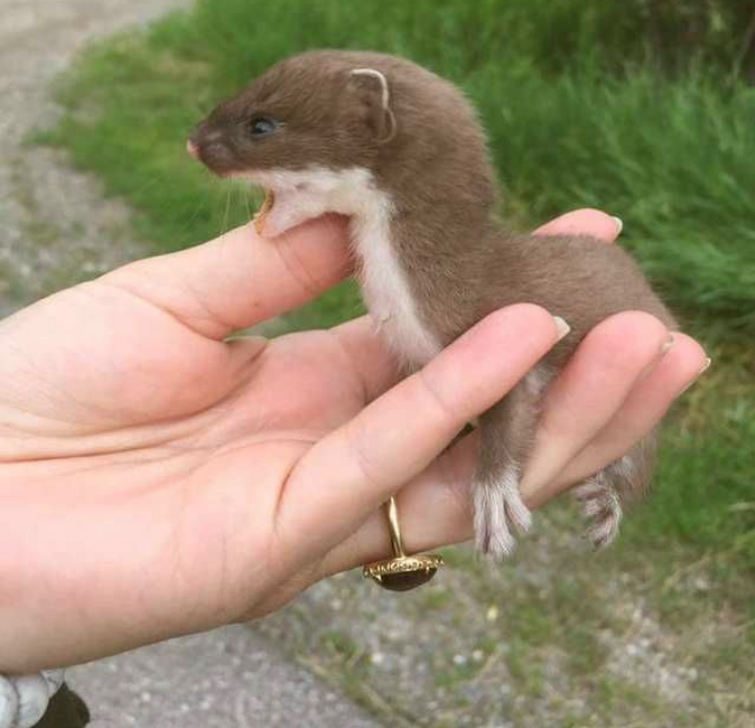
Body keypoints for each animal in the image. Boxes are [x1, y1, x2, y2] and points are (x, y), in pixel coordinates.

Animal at [189, 49, 680, 556]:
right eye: (242, 94)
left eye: (261, 124)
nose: (193, 142)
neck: (406, 300)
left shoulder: (510, 330)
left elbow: (512, 416)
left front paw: (494, 497)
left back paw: (605, 502)